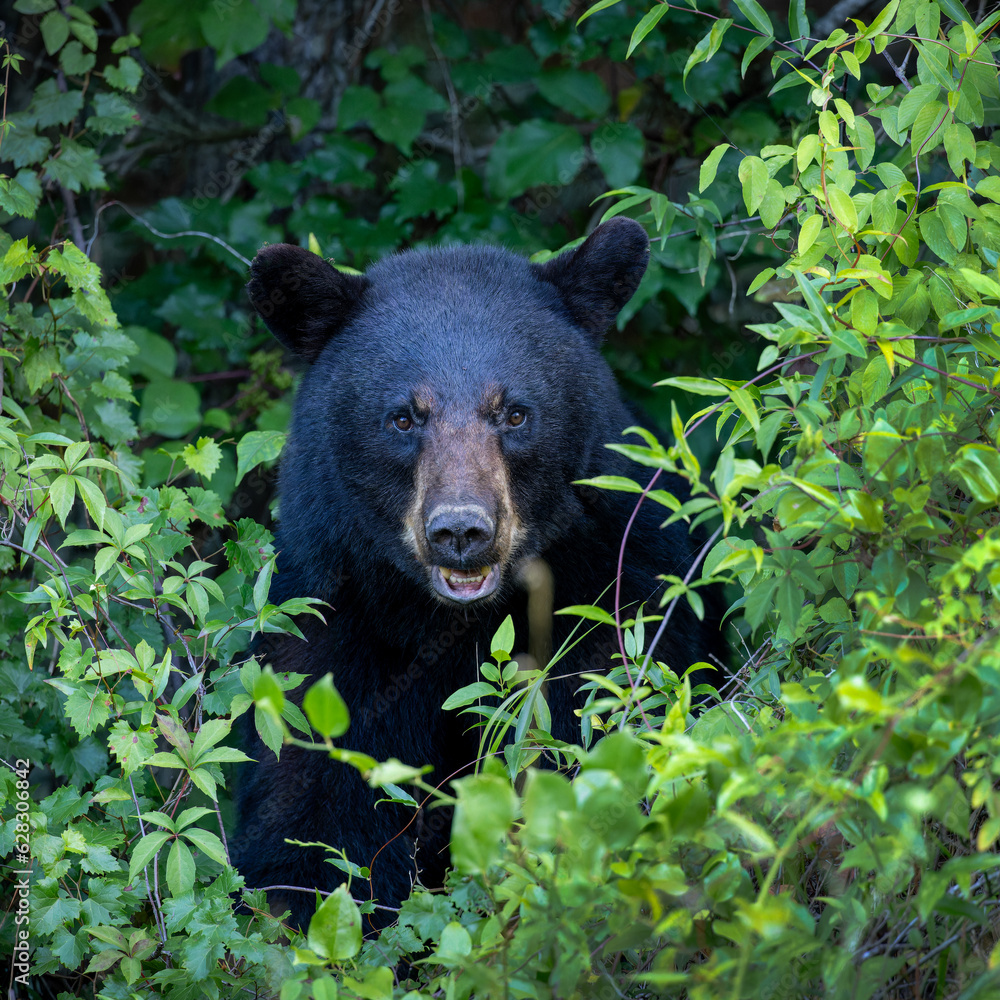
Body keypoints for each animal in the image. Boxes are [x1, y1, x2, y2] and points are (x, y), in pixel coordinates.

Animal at [233, 217, 720, 928]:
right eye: (403, 416)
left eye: (514, 412)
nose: (461, 531)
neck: (456, 628)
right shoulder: (330, 636)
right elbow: (306, 811)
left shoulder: (615, 603)